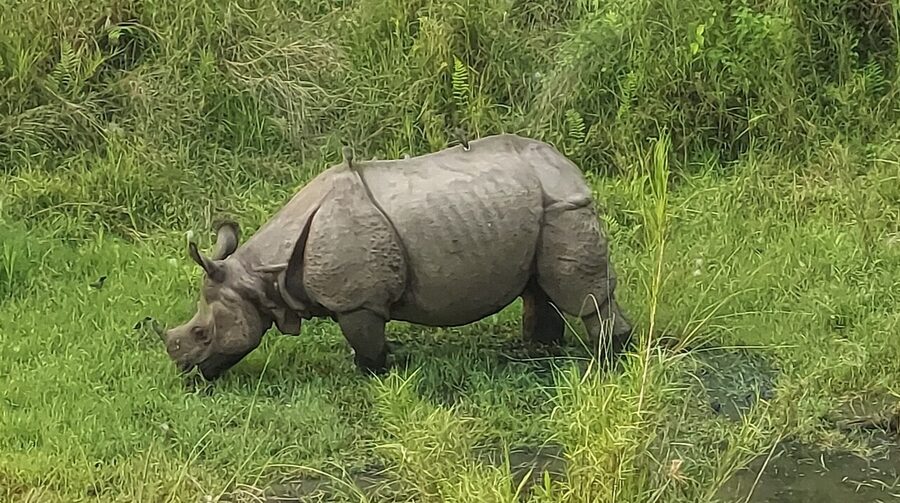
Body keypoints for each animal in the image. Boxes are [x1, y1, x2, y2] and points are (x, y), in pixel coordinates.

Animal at [161, 133, 634, 380]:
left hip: (565, 209)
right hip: (540, 207)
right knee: (537, 287)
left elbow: (366, 342)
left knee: (581, 295)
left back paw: (608, 360)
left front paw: (372, 373)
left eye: (202, 333)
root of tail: (571, 168)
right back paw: (537, 353)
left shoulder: (358, 302)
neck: (260, 276)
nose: (187, 374)